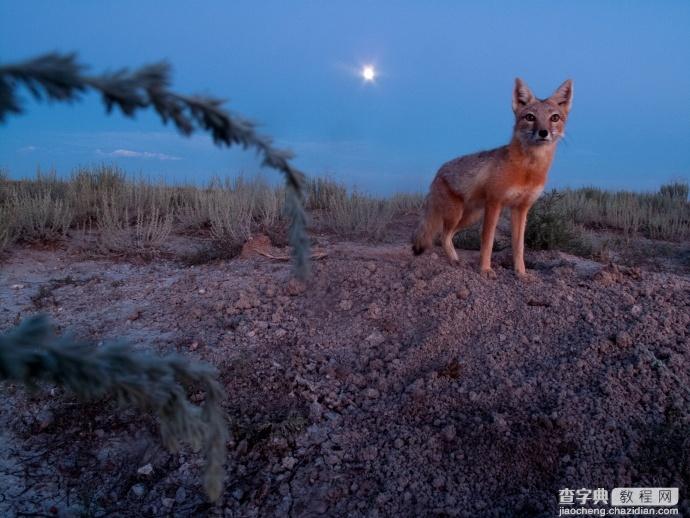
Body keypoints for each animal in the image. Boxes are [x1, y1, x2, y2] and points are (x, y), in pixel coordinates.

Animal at [412, 77, 572, 278]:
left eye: (554, 118)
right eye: (530, 117)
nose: (543, 132)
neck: (527, 171)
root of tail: (438, 172)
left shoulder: (521, 209)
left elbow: (519, 246)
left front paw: (521, 273)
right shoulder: (495, 203)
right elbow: (487, 242)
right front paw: (485, 270)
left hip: (471, 217)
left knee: (447, 235)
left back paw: (456, 261)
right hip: (458, 215)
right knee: (443, 235)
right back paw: (454, 262)